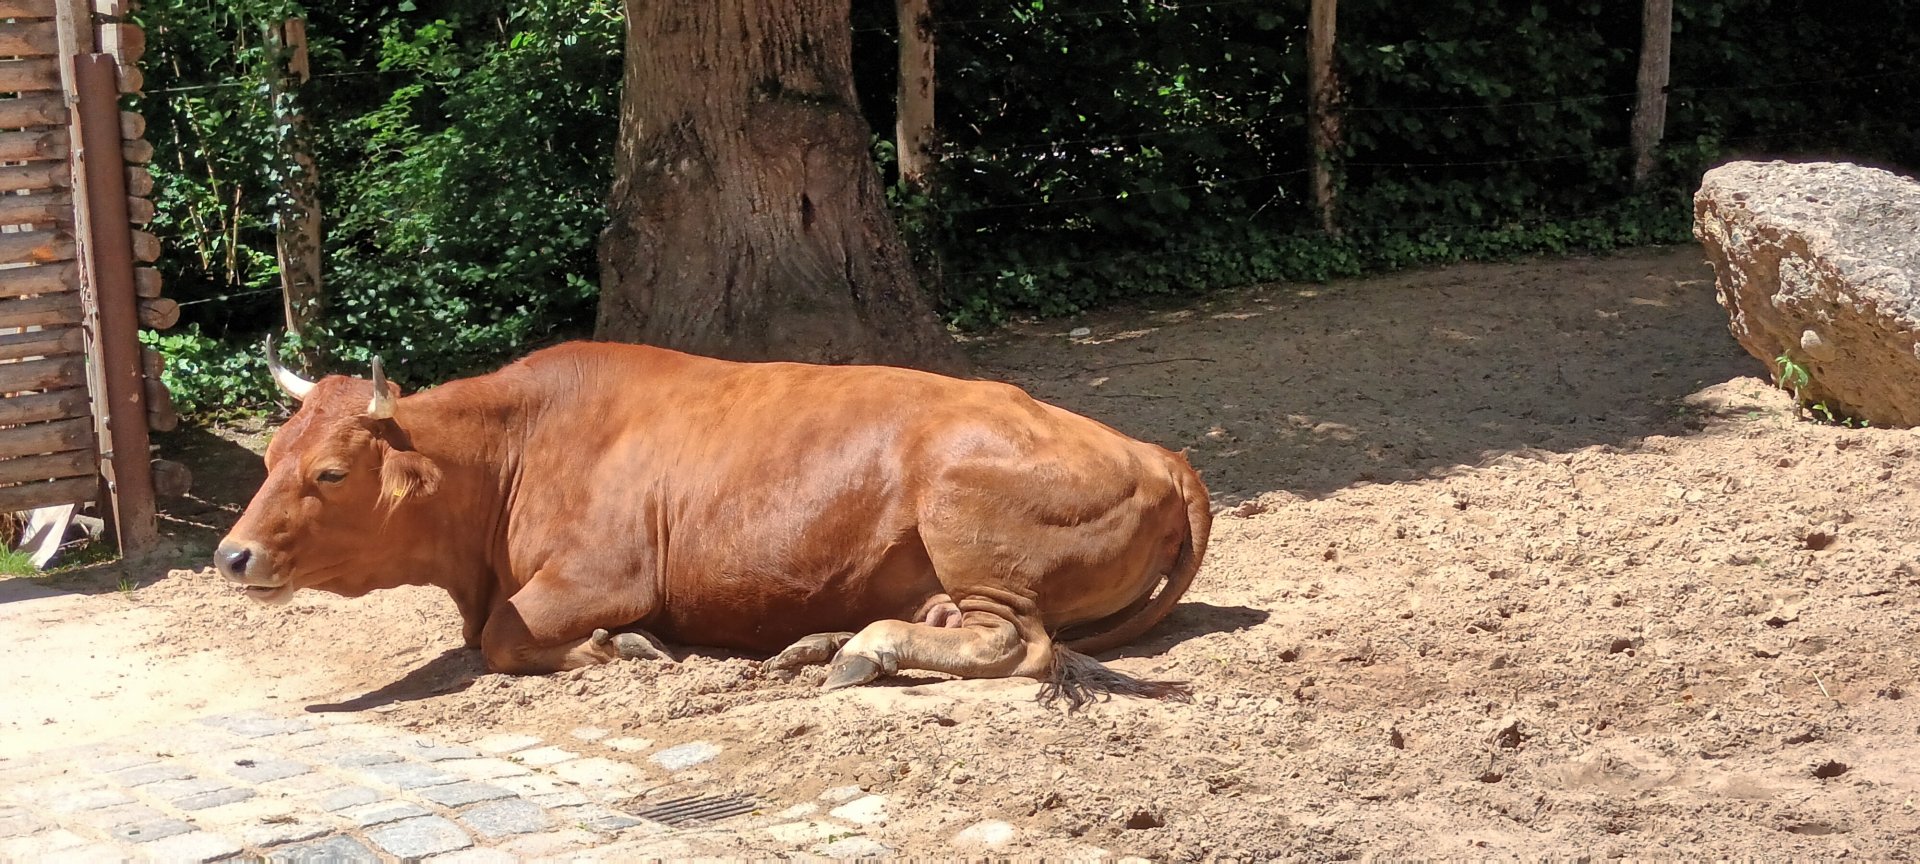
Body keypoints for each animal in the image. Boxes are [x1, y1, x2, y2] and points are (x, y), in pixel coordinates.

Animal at [214, 340, 1211, 708]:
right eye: (268, 458)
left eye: (330, 472)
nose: (231, 555)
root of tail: (1159, 452)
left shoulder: (598, 578)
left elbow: (502, 636)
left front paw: (622, 647)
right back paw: (824, 641)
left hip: (967, 521)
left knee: (1019, 644)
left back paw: (861, 651)